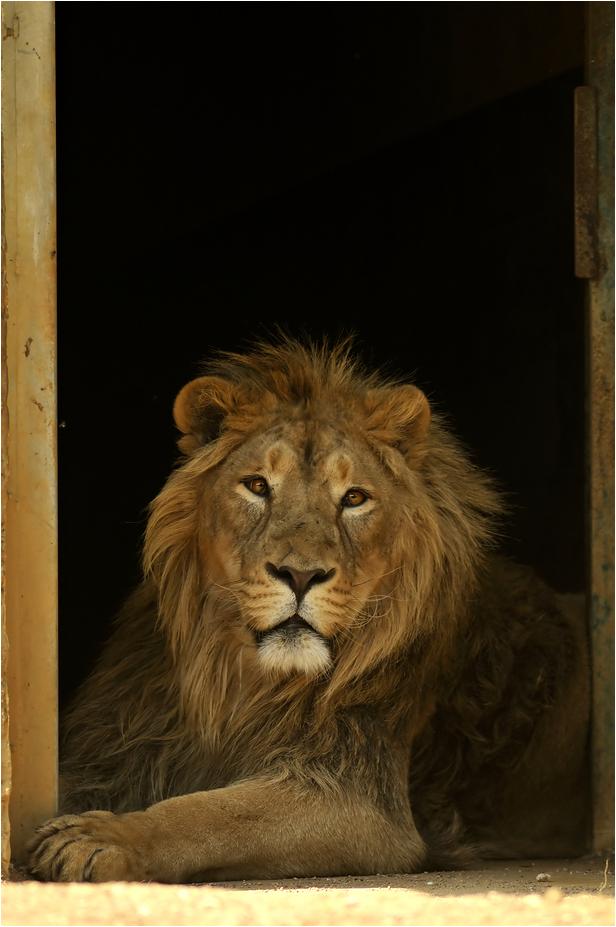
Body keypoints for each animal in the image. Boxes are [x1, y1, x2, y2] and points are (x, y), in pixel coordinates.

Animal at [28, 338, 590, 883]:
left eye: (355, 497)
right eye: (257, 485)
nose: (300, 575)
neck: (237, 682)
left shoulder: (358, 800)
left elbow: (209, 815)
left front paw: (102, 838)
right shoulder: (116, 749)